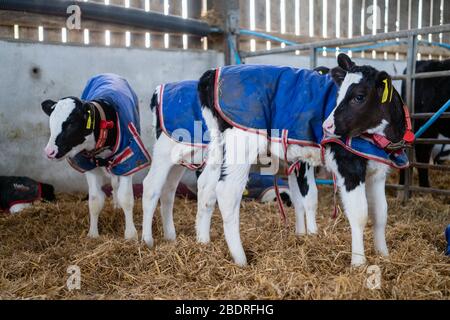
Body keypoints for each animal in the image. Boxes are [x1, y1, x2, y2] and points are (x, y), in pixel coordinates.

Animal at [41, 73, 149, 238]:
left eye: (71, 123)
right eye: (51, 122)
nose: (49, 151)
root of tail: (109, 74)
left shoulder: (127, 161)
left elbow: (126, 198)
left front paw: (130, 235)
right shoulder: (88, 166)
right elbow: (94, 201)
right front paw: (93, 234)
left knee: (115, 183)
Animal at [197, 53, 412, 266]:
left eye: (359, 96)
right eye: (339, 93)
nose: (326, 126)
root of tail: (213, 73)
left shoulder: (378, 172)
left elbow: (381, 213)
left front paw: (383, 254)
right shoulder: (348, 167)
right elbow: (359, 214)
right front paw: (358, 262)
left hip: (218, 146)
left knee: (206, 186)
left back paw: (202, 242)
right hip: (242, 142)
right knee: (226, 192)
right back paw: (240, 259)